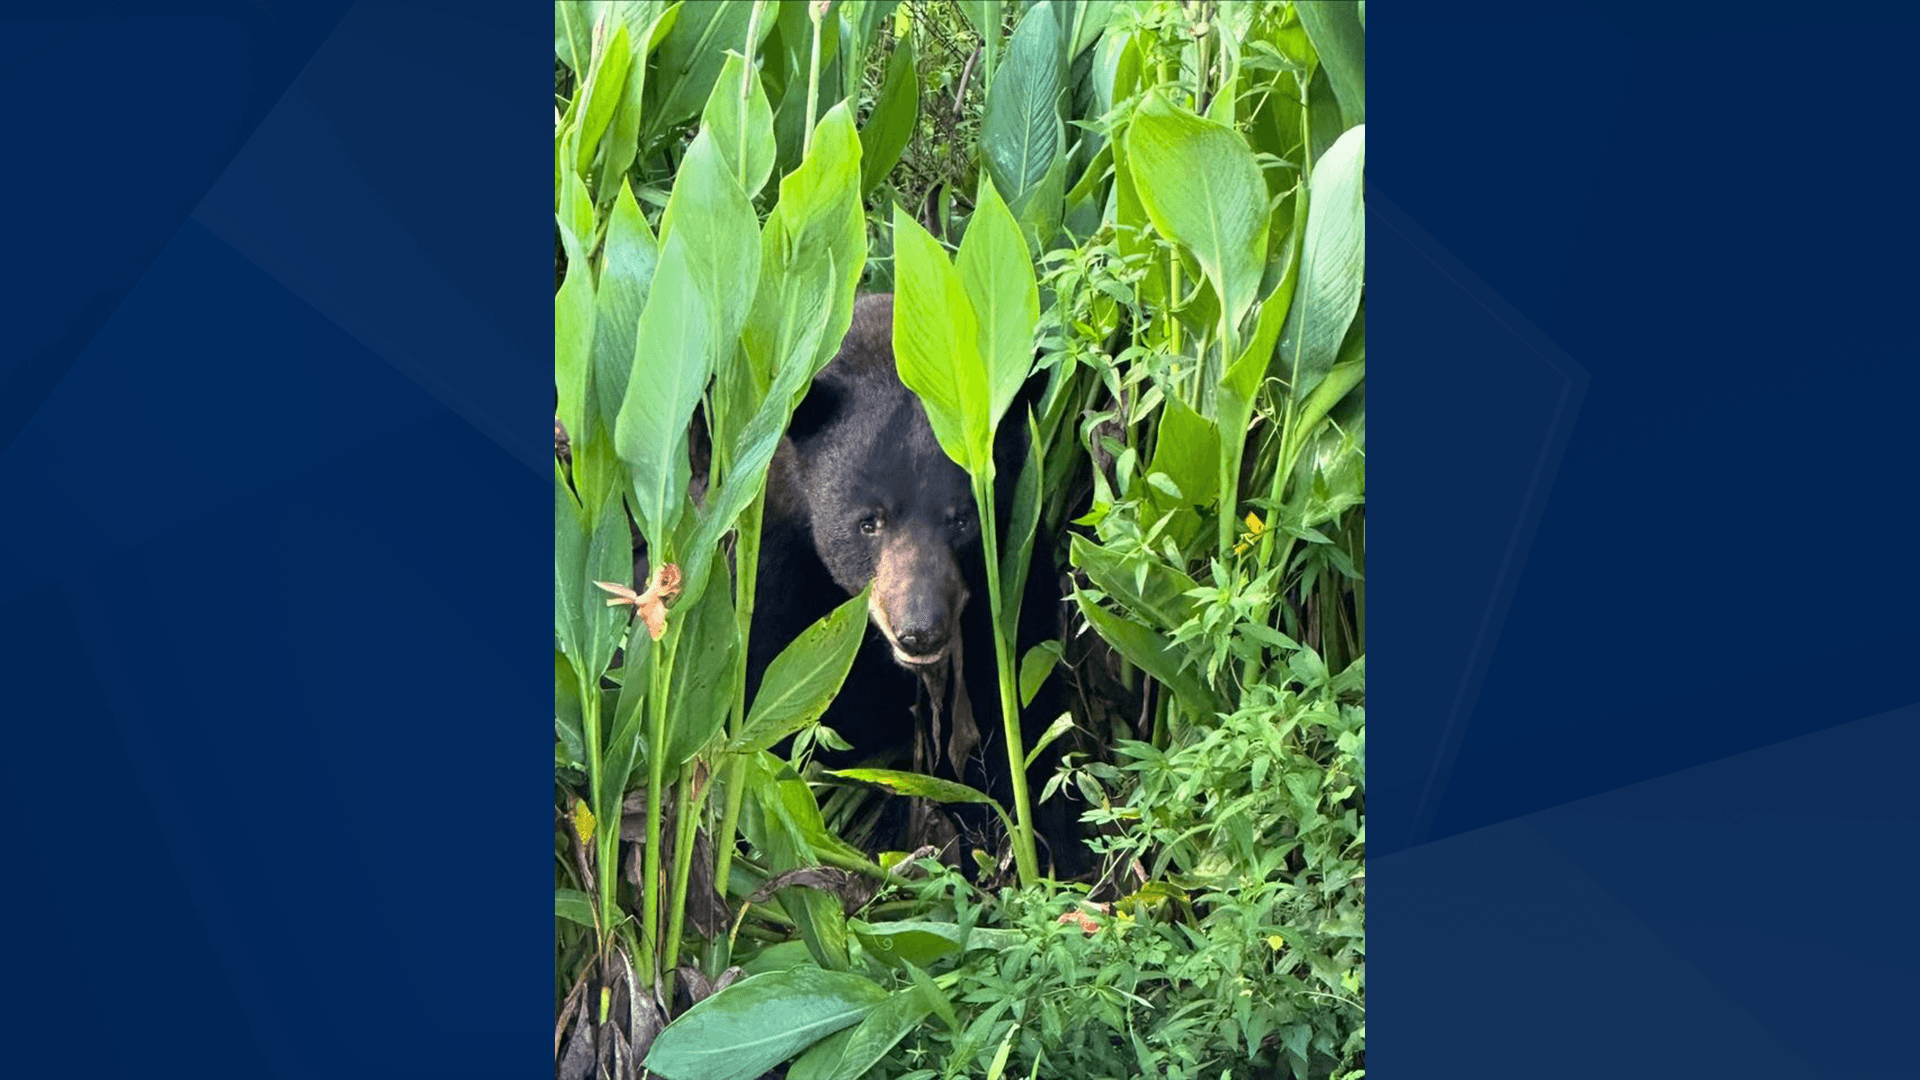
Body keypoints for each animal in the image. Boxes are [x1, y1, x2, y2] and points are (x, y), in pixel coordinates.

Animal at [748, 292, 1081, 877]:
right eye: (868, 521)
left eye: (962, 519)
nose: (919, 629)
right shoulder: (777, 567)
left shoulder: (1018, 573)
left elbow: (1024, 709)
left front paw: (1051, 848)